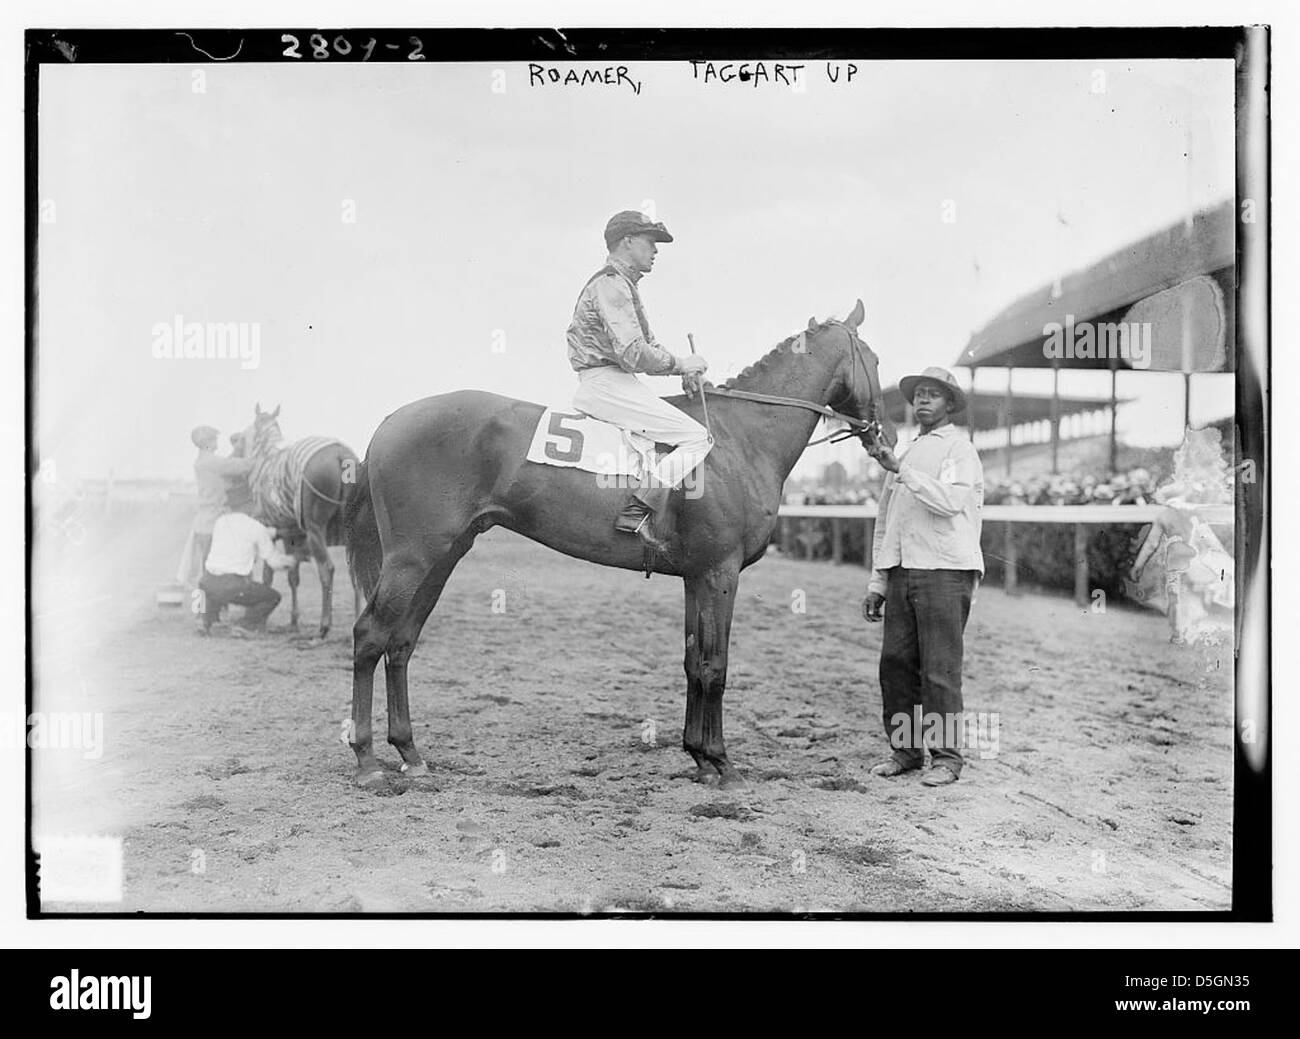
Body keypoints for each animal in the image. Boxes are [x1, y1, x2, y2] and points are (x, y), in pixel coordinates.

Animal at [233, 405, 361, 642]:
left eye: (239, 439)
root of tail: (341, 455)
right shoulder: (292, 536)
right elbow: (293, 576)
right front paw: (293, 621)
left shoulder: (271, 531)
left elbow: (268, 575)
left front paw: (259, 620)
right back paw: (357, 622)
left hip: (315, 529)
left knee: (327, 569)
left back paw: (324, 626)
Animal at [345, 300, 894, 790]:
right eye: (874, 359)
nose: (883, 441)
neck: (738, 439)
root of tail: (391, 420)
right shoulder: (721, 572)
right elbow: (716, 665)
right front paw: (723, 763)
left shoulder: (696, 576)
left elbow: (693, 662)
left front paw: (699, 757)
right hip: (411, 558)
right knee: (371, 636)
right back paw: (367, 760)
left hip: (443, 557)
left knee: (401, 642)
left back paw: (410, 754)